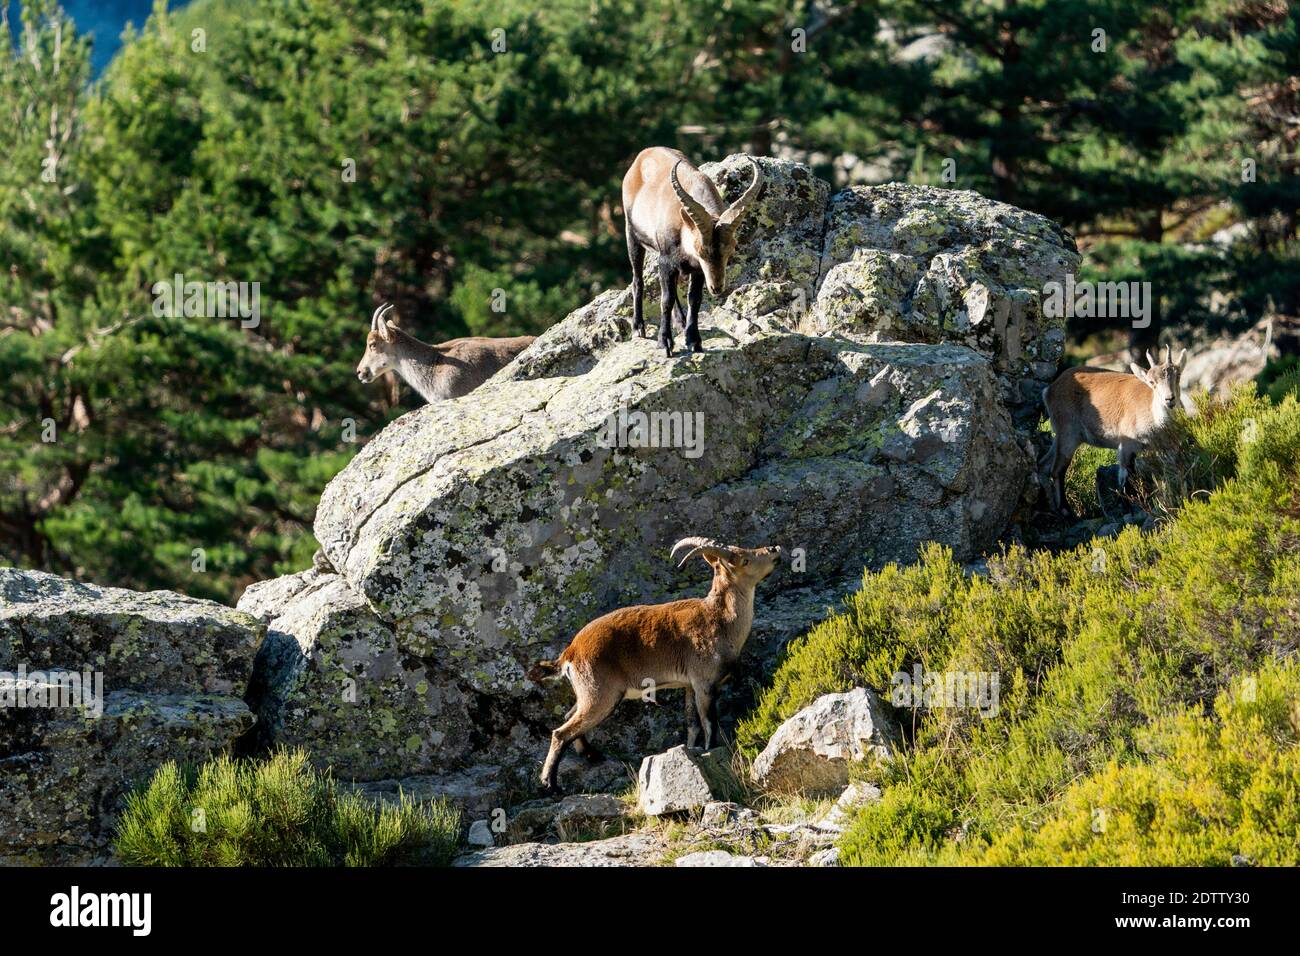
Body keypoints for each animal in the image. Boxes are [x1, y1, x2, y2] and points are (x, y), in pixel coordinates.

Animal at [528, 537, 783, 792]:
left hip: (588, 693)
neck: (720, 620)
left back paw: (592, 756)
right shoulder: (704, 683)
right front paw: (711, 751)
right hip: (601, 694)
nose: (773, 549)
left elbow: (692, 724)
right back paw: (550, 783)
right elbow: (709, 723)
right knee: (561, 732)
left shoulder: (688, 685)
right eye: (744, 560)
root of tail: (571, 652)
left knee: (568, 716)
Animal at [622, 148, 763, 357]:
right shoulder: (667, 261)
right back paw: (638, 327)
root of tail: (642, 155)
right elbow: (665, 300)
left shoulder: (698, 270)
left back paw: (680, 322)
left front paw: (694, 340)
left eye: (731, 249)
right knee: (638, 280)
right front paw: (664, 343)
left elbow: (694, 300)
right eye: (701, 251)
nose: (717, 287)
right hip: (633, 235)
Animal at [1042, 344, 1187, 517]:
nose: (1169, 399)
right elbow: (1126, 475)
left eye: (1178, 376)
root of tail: (1050, 390)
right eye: (1152, 382)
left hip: (1061, 436)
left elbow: (1170, 472)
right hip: (1068, 433)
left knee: (1044, 464)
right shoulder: (1127, 444)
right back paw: (1065, 510)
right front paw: (1131, 507)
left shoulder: (1168, 447)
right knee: (1057, 469)